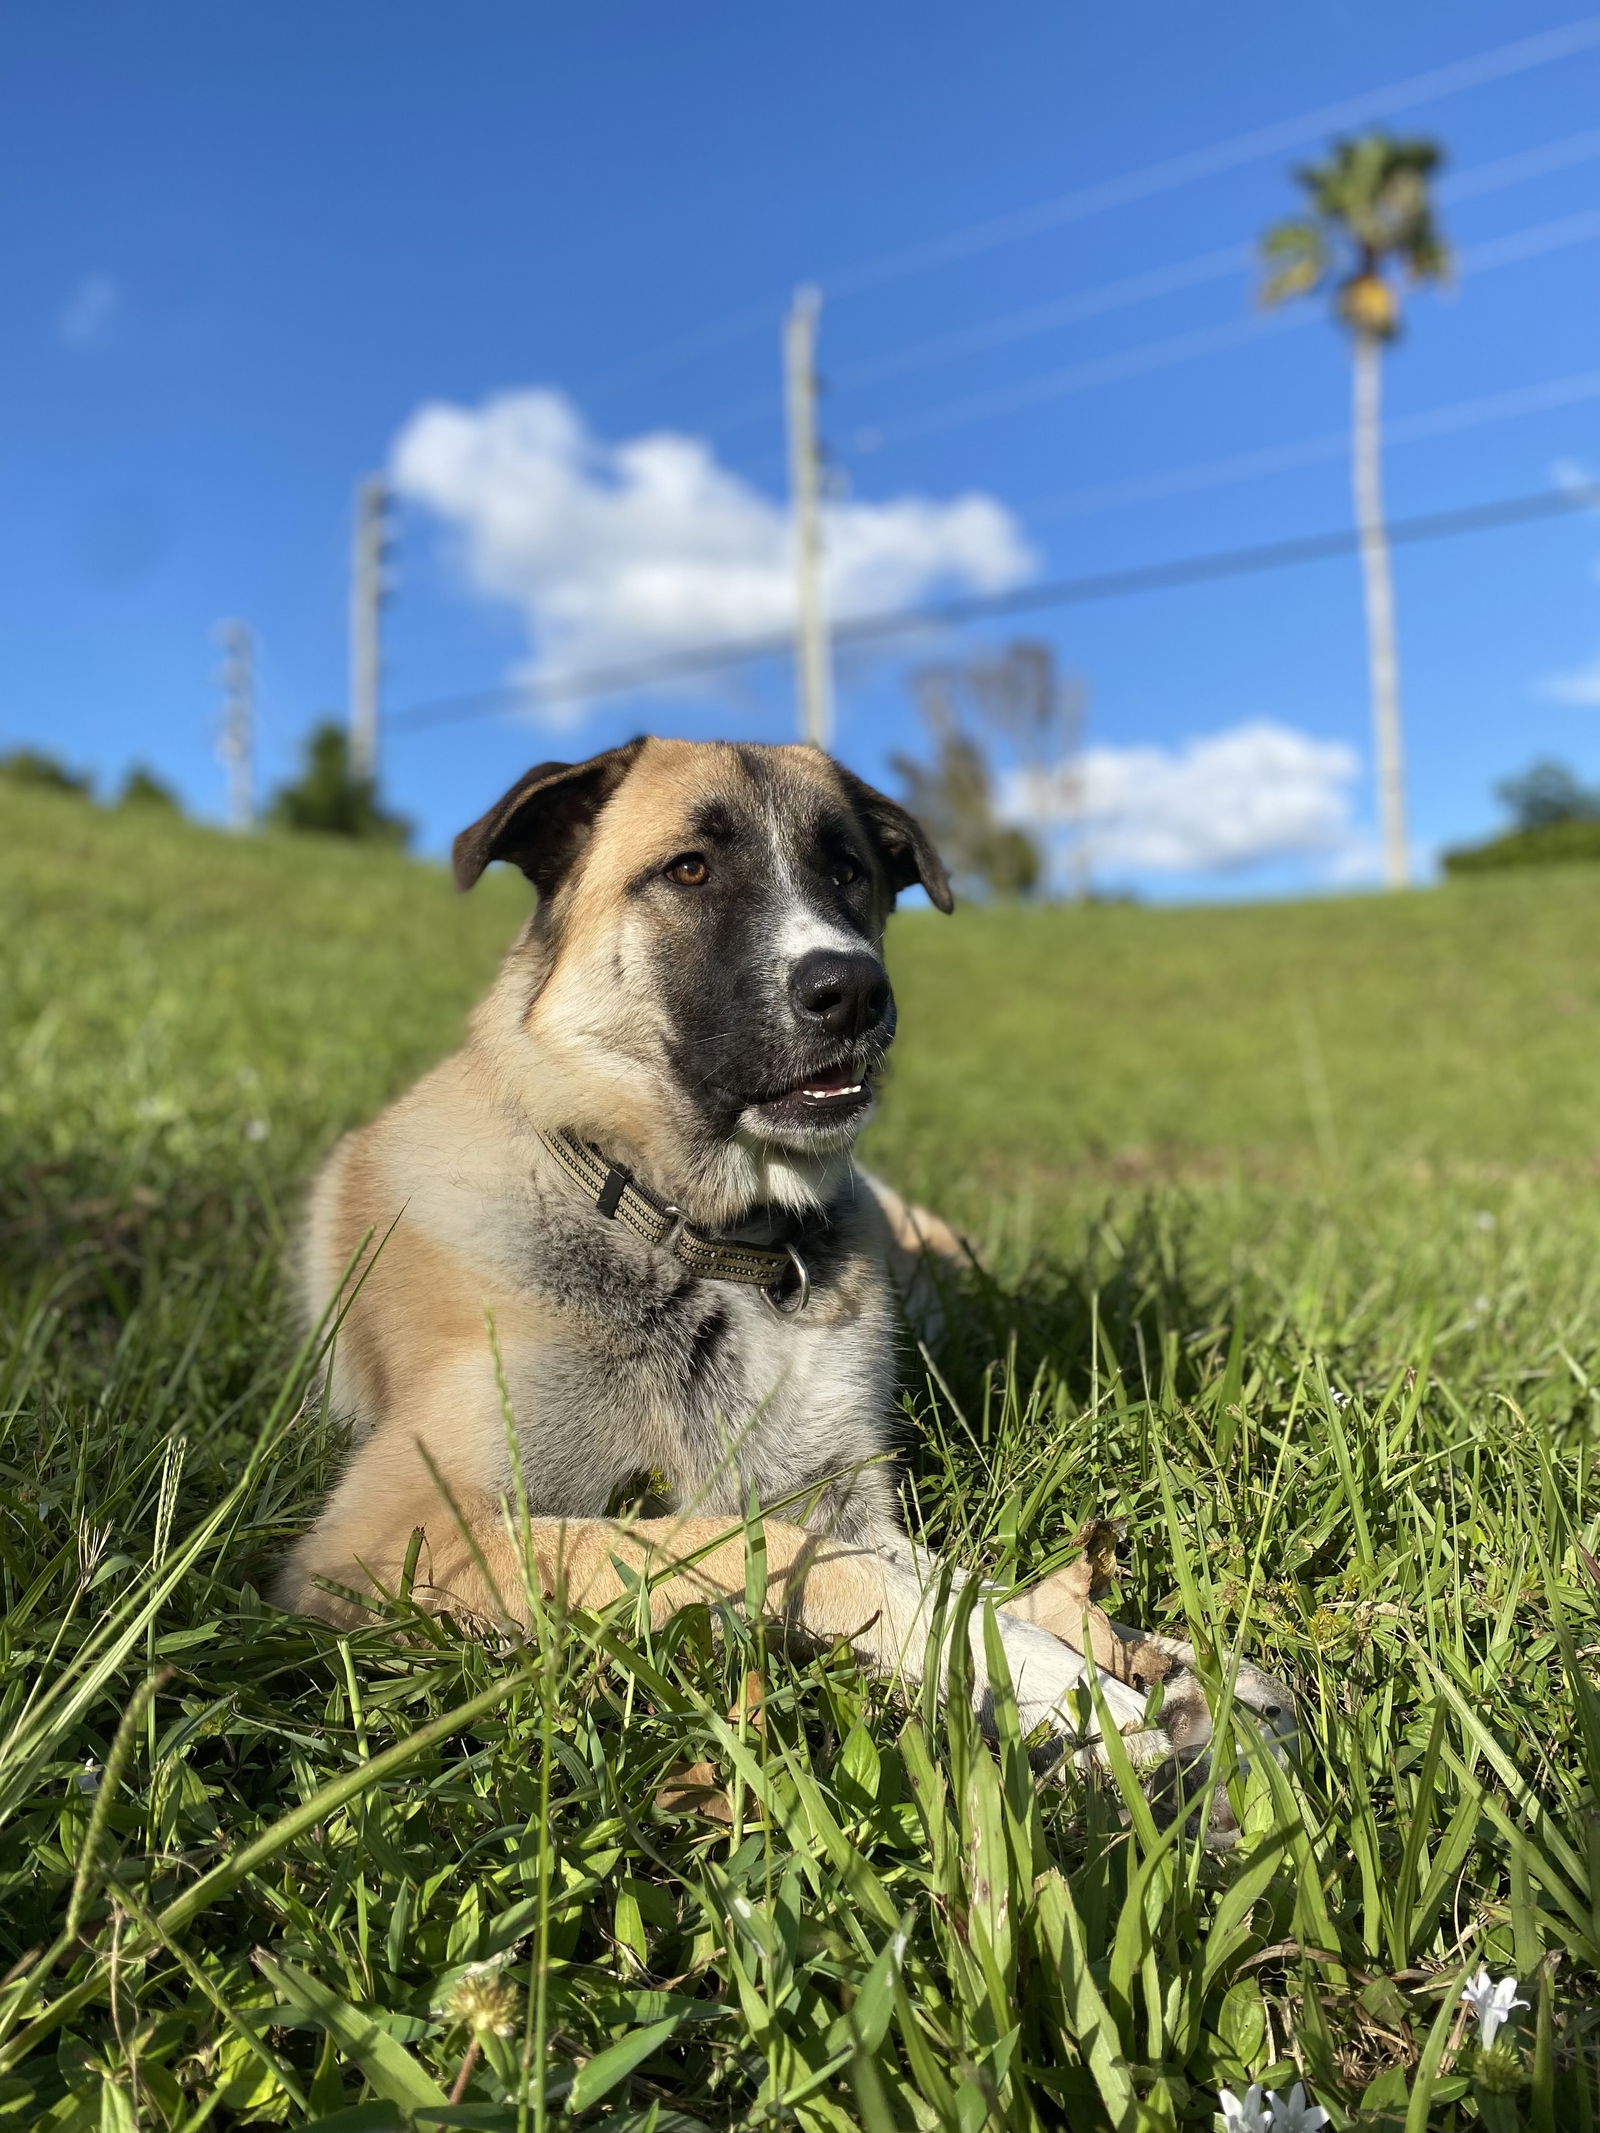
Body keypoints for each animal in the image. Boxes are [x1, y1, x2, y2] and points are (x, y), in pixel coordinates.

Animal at [279, 733, 1305, 1800]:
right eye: (689, 869)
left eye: (847, 871)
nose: (852, 991)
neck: (703, 1241)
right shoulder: (395, 1540)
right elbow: (761, 1544)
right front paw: (1060, 1680)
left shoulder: (845, 1495)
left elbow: (955, 1576)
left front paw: (1148, 1665)